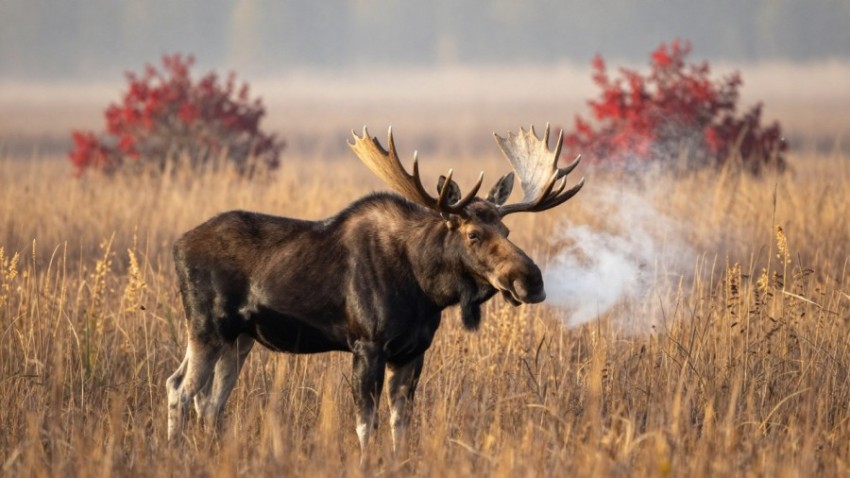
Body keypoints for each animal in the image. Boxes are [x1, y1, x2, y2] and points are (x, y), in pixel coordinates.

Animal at [166, 124, 584, 458]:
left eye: (507, 230)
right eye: (473, 234)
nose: (531, 280)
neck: (425, 289)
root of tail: (178, 246)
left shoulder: (413, 351)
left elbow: (401, 424)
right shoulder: (367, 345)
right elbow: (367, 424)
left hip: (239, 338)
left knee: (207, 399)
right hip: (207, 327)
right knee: (182, 389)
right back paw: (177, 452)